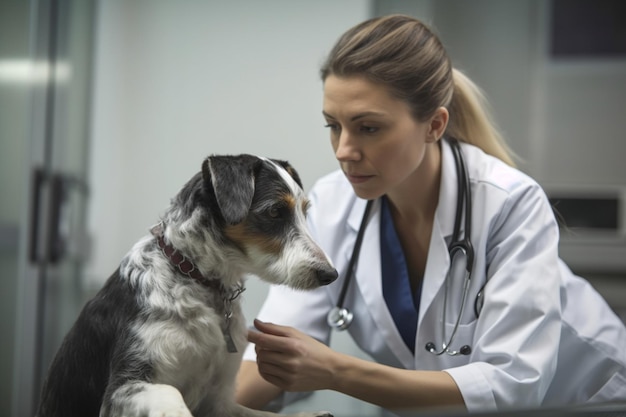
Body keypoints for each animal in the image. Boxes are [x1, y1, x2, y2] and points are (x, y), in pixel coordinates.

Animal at [35, 154, 336, 416]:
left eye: (305, 211)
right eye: (275, 211)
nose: (330, 274)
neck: (197, 278)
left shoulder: (219, 402)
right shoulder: (123, 386)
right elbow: (170, 393)